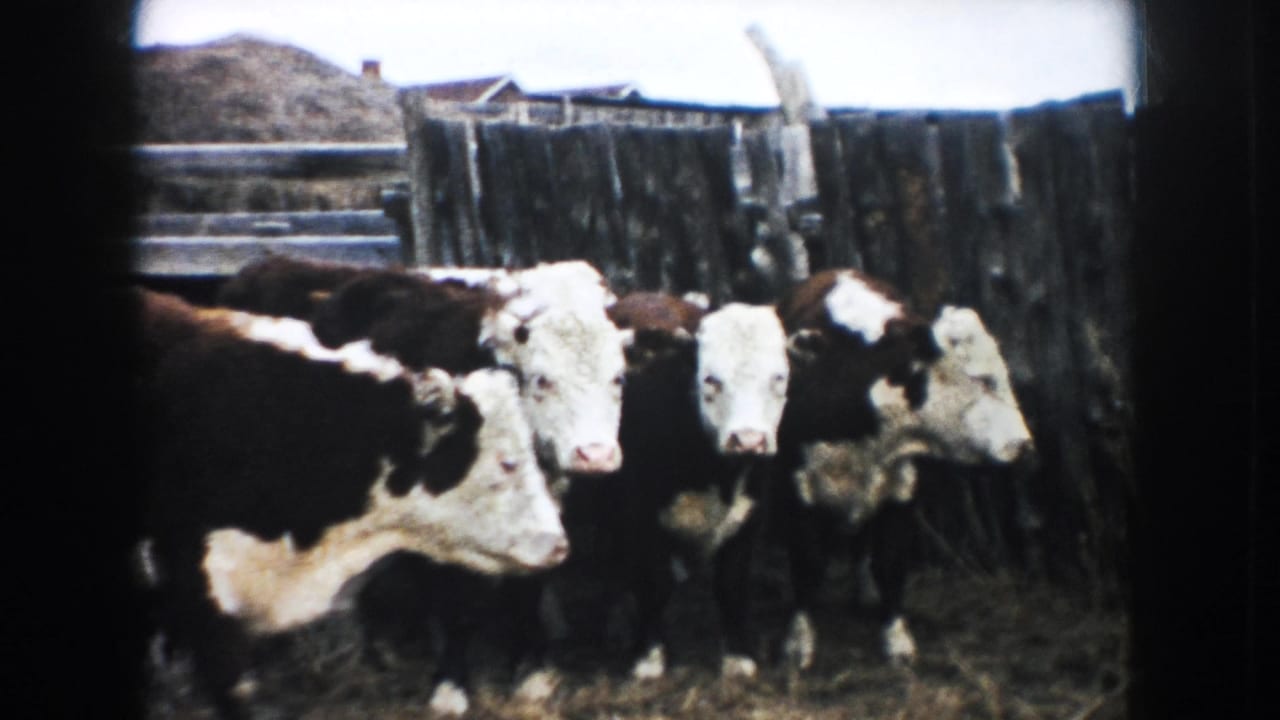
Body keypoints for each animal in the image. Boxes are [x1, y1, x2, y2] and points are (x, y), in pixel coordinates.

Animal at [558, 291, 791, 682]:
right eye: (710, 379)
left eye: (779, 377)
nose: (748, 440)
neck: (714, 473)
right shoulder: (641, 515)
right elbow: (654, 582)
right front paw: (649, 656)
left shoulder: (750, 516)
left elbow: (731, 583)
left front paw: (739, 656)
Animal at [770, 270, 1034, 672]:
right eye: (982, 378)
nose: (1024, 444)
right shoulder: (796, 489)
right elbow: (808, 564)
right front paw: (798, 645)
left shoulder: (901, 489)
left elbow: (891, 563)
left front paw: (896, 642)